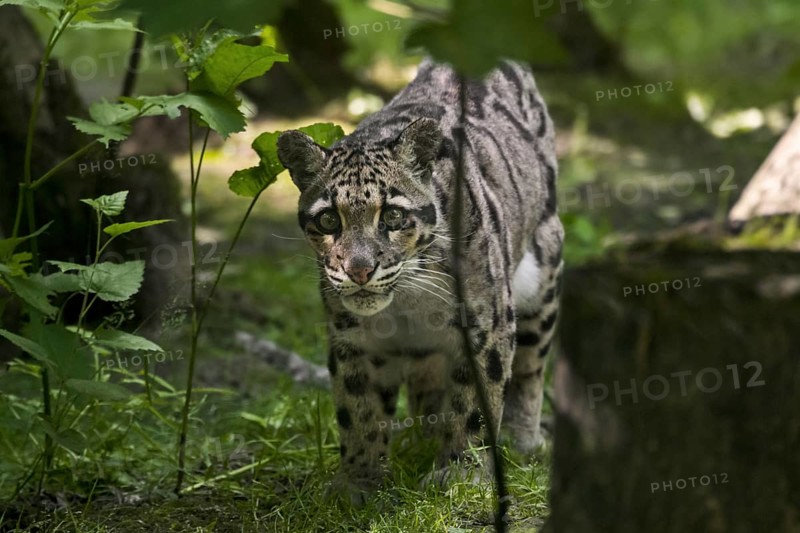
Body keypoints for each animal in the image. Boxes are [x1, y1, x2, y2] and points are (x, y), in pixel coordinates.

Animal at [277, 58, 564, 503]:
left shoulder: (486, 323)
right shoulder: (352, 338)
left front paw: (461, 472)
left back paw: (521, 440)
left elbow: (477, 403)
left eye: (393, 215)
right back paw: (425, 434)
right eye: (328, 220)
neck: (408, 301)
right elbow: (357, 408)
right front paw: (357, 480)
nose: (359, 269)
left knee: (531, 368)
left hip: (543, 271)